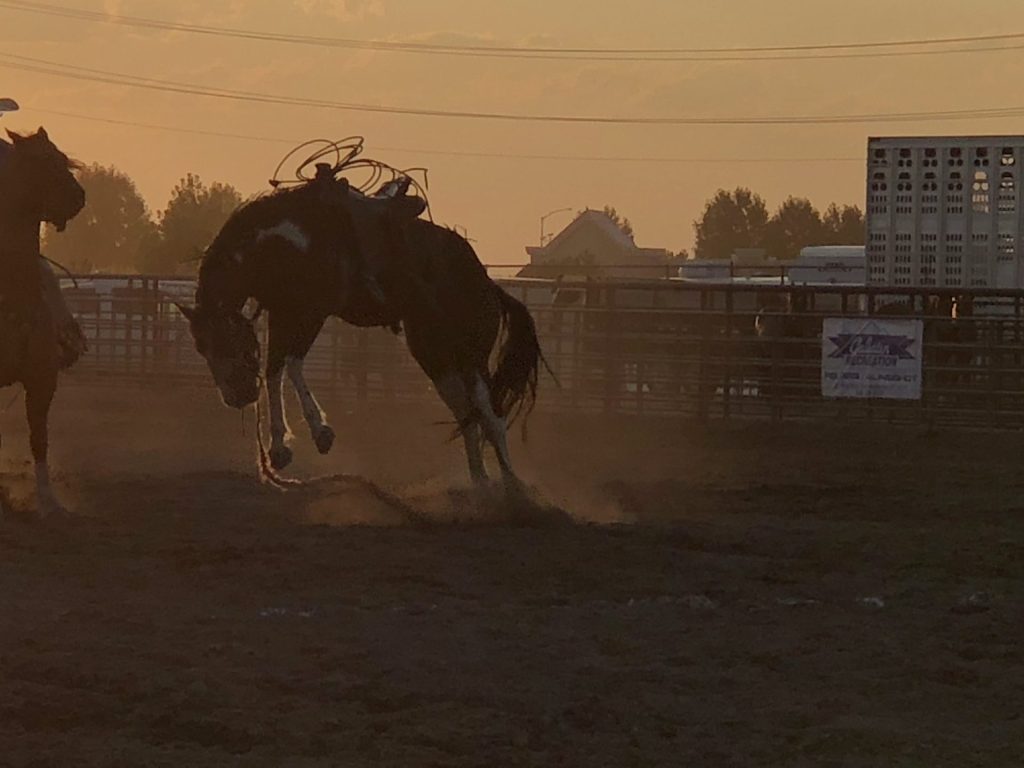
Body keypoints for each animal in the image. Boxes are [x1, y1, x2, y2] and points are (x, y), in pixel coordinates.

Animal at [178, 177, 544, 487]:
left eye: (226, 340)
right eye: (200, 347)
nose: (236, 398)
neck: (283, 241)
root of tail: (487, 283)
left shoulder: (310, 313)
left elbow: (290, 365)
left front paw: (320, 433)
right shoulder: (282, 313)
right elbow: (274, 369)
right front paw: (279, 448)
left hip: (471, 354)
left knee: (490, 414)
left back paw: (512, 486)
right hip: (434, 354)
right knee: (467, 412)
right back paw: (480, 483)